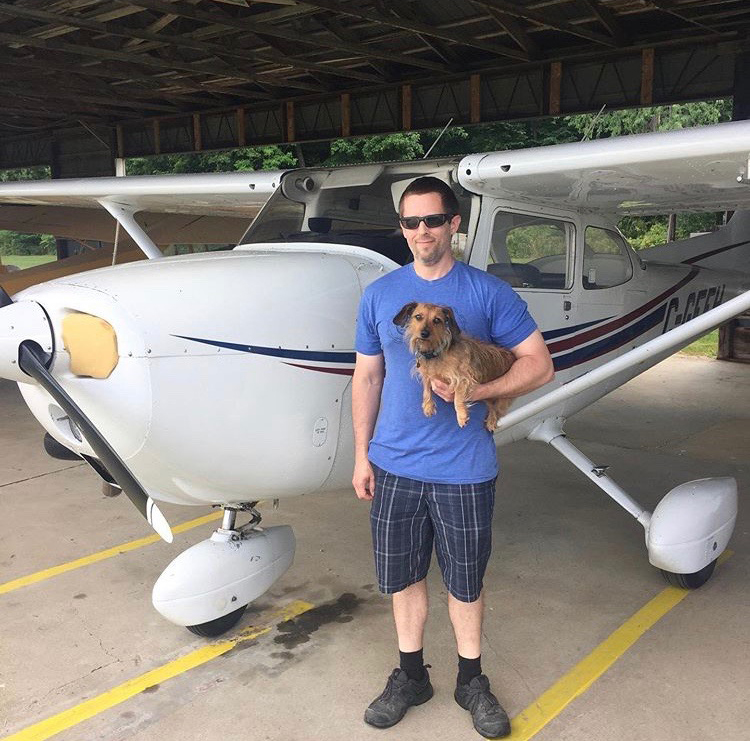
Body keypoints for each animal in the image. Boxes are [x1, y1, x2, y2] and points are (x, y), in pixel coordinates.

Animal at [394, 300, 516, 430]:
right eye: (418, 317)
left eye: (437, 320)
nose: (424, 333)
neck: (436, 352)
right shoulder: (427, 374)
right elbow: (426, 388)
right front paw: (428, 406)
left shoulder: (462, 378)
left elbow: (457, 397)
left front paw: (461, 416)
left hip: (502, 397)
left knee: (496, 410)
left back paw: (491, 421)